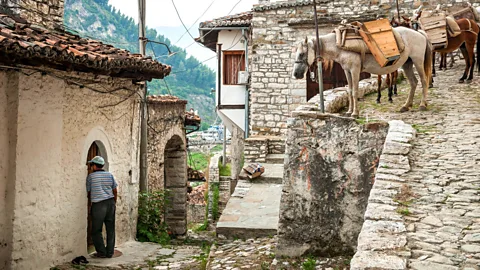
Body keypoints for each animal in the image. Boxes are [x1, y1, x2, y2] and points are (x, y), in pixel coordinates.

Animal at [292, 26, 436, 118]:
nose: (296, 74)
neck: (340, 44)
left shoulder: (355, 70)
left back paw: (422, 104)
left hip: (417, 61)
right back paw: (406, 106)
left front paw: (355, 113)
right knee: (413, 82)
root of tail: (419, 33)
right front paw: (349, 112)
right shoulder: (347, 71)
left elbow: (355, 91)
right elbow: (349, 91)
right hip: (407, 63)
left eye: (302, 54)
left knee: (424, 81)